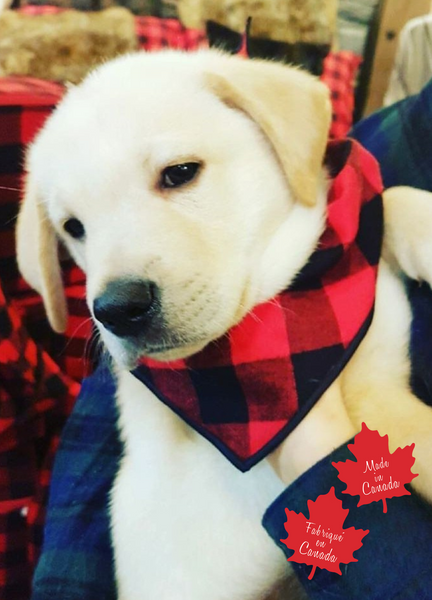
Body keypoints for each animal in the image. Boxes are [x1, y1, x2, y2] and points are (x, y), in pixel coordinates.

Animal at [16, 51, 432, 600]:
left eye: (180, 173)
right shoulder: (373, 405)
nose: (116, 309)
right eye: (73, 228)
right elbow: (421, 431)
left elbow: (391, 195)